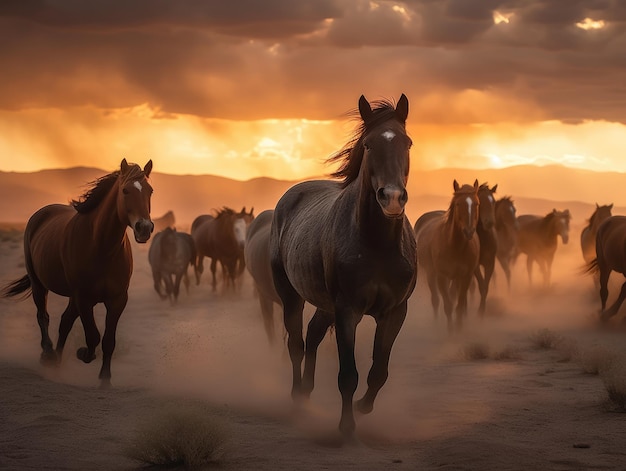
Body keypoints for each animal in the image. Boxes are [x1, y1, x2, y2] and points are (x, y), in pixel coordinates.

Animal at [0, 160, 154, 390]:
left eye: (150, 191)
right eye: (125, 190)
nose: (144, 228)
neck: (101, 247)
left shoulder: (117, 300)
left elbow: (108, 340)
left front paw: (105, 379)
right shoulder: (84, 298)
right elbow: (93, 336)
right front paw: (83, 354)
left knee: (64, 323)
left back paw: (57, 361)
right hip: (39, 285)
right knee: (43, 317)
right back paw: (48, 354)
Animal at [266, 95, 414, 438]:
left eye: (408, 143)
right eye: (369, 144)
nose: (392, 198)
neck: (376, 244)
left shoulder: (395, 312)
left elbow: (378, 371)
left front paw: (362, 407)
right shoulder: (348, 311)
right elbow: (348, 374)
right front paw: (346, 426)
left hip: (325, 304)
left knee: (313, 335)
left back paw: (307, 392)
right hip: (292, 295)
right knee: (297, 342)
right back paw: (298, 398)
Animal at [416, 181, 480, 332]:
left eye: (476, 203)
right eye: (458, 204)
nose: (469, 231)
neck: (455, 246)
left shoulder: (465, 276)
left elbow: (459, 304)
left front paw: (459, 328)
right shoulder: (441, 277)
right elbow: (448, 305)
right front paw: (450, 331)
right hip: (430, 273)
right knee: (435, 299)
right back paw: (436, 322)